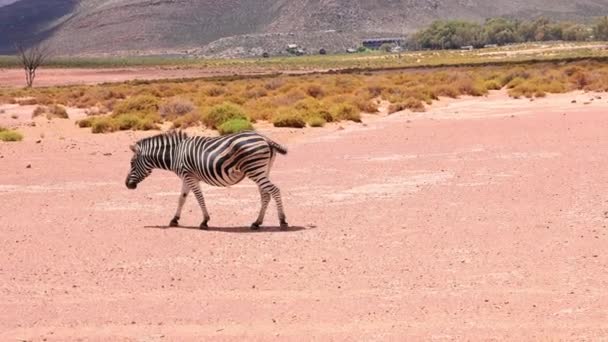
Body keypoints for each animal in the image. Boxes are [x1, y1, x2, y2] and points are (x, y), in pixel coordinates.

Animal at [124, 130, 288, 230]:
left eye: (131, 163)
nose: (127, 185)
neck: (175, 154)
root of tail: (265, 138)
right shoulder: (186, 177)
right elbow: (182, 199)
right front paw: (174, 219)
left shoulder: (189, 176)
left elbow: (199, 197)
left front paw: (205, 221)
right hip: (262, 170)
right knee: (265, 195)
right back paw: (257, 222)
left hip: (255, 169)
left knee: (274, 190)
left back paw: (282, 221)